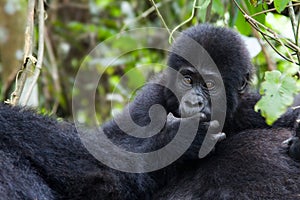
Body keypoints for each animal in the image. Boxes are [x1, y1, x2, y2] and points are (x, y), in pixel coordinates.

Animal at [0, 24, 298, 199]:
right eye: (188, 79)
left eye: (210, 85)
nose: (194, 102)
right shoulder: (149, 100)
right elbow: (109, 169)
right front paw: (178, 140)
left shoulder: (250, 106)